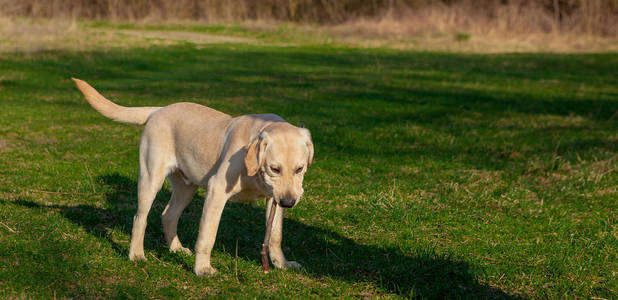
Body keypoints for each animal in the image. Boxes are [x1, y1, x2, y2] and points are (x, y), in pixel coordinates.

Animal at [73, 78, 312, 276]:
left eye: (299, 169)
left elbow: (275, 236)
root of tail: (159, 110)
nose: (289, 202)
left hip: (186, 187)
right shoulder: (217, 192)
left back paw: (176, 249)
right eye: (275, 169)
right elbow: (207, 236)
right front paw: (203, 269)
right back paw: (137, 255)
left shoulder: (273, 200)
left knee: (168, 215)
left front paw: (282, 264)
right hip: (151, 179)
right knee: (140, 218)